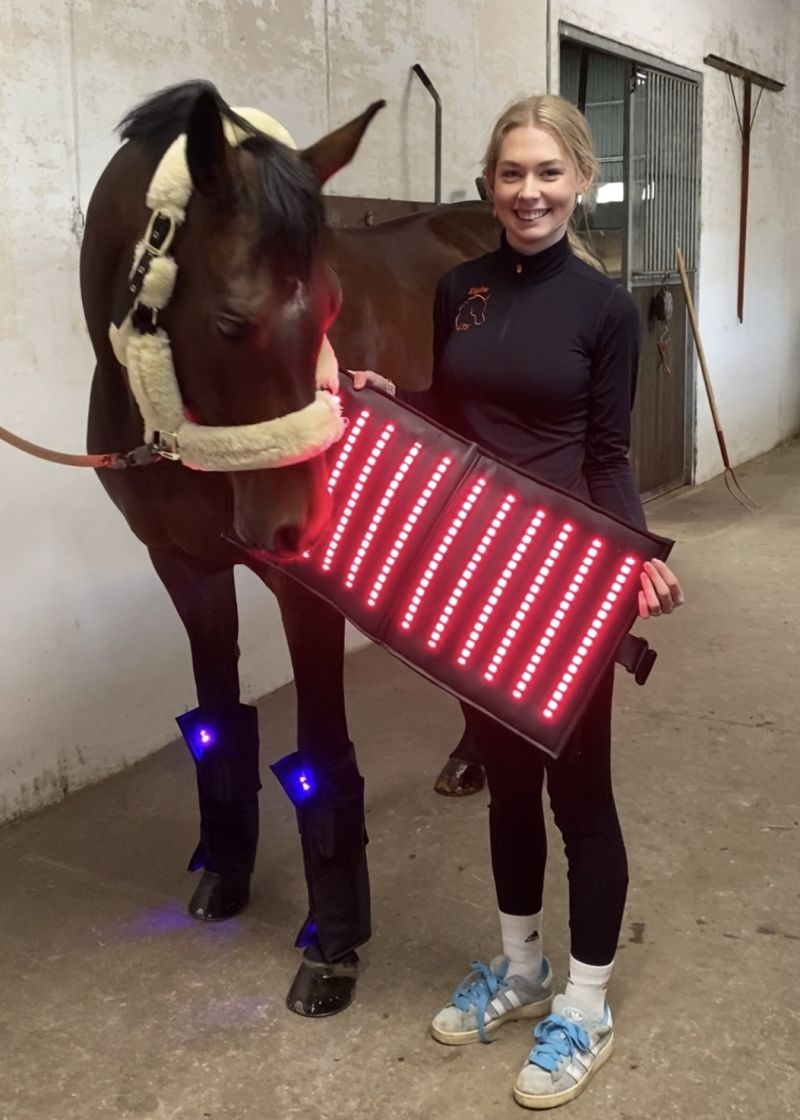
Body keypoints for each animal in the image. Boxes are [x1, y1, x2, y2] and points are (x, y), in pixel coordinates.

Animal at [80, 80, 498, 1017]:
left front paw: (333, 948)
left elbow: (321, 755)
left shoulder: (304, 590)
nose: (299, 526)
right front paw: (225, 876)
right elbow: (219, 724)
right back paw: (471, 758)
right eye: (232, 321)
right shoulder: (186, 571)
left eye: (332, 310)